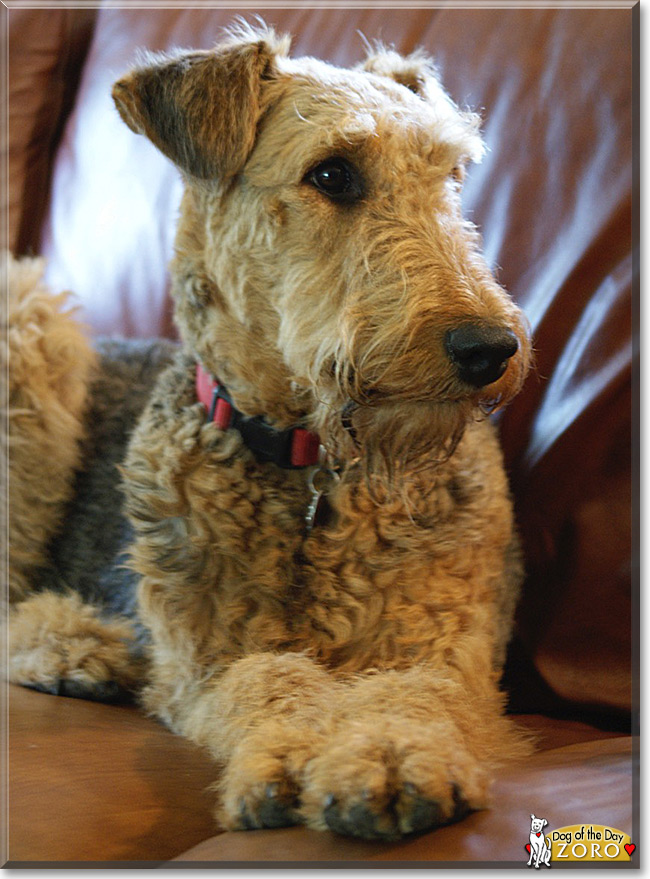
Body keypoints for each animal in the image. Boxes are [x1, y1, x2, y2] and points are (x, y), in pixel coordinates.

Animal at [6, 24, 532, 844]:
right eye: (333, 173)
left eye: (451, 174)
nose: (490, 348)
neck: (314, 465)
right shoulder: (206, 658)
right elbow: (269, 677)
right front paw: (295, 752)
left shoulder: (442, 643)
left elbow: (414, 693)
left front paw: (390, 756)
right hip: (30, 321)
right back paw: (76, 643)